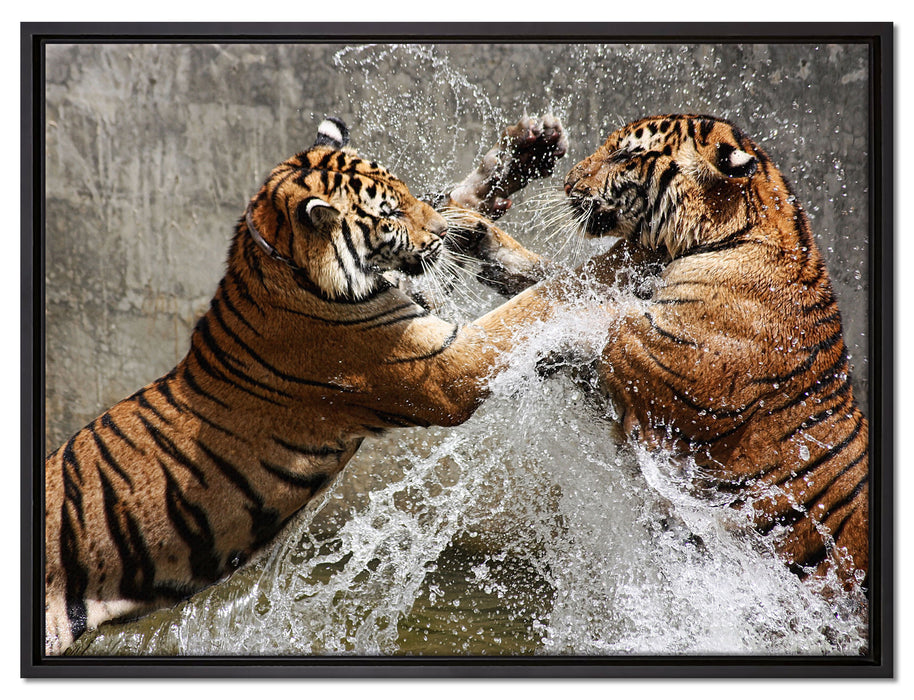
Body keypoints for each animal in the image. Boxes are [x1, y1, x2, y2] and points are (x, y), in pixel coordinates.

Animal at [43, 115, 570, 656]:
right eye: (391, 213)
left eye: (406, 190)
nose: (442, 232)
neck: (282, 262)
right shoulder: (443, 367)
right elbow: (531, 304)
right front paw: (590, 277)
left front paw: (523, 152)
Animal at [458, 114, 869, 590]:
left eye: (625, 155)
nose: (567, 182)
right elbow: (563, 281)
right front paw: (475, 234)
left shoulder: (666, 364)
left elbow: (586, 310)